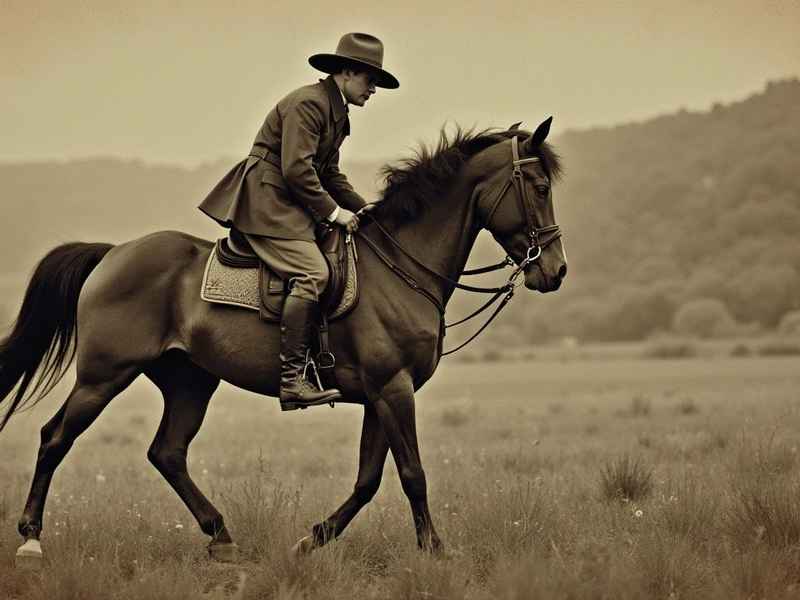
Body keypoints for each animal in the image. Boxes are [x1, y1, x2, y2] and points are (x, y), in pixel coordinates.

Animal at [0, 118, 565, 568]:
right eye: (538, 186)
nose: (555, 271)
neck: (400, 265)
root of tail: (114, 252)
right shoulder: (393, 389)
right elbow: (412, 474)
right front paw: (435, 550)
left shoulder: (380, 396)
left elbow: (368, 480)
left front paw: (311, 540)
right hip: (104, 376)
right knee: (55, 438)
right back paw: (31, 540)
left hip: (190, 383)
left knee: (167, 452)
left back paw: (221, 536)